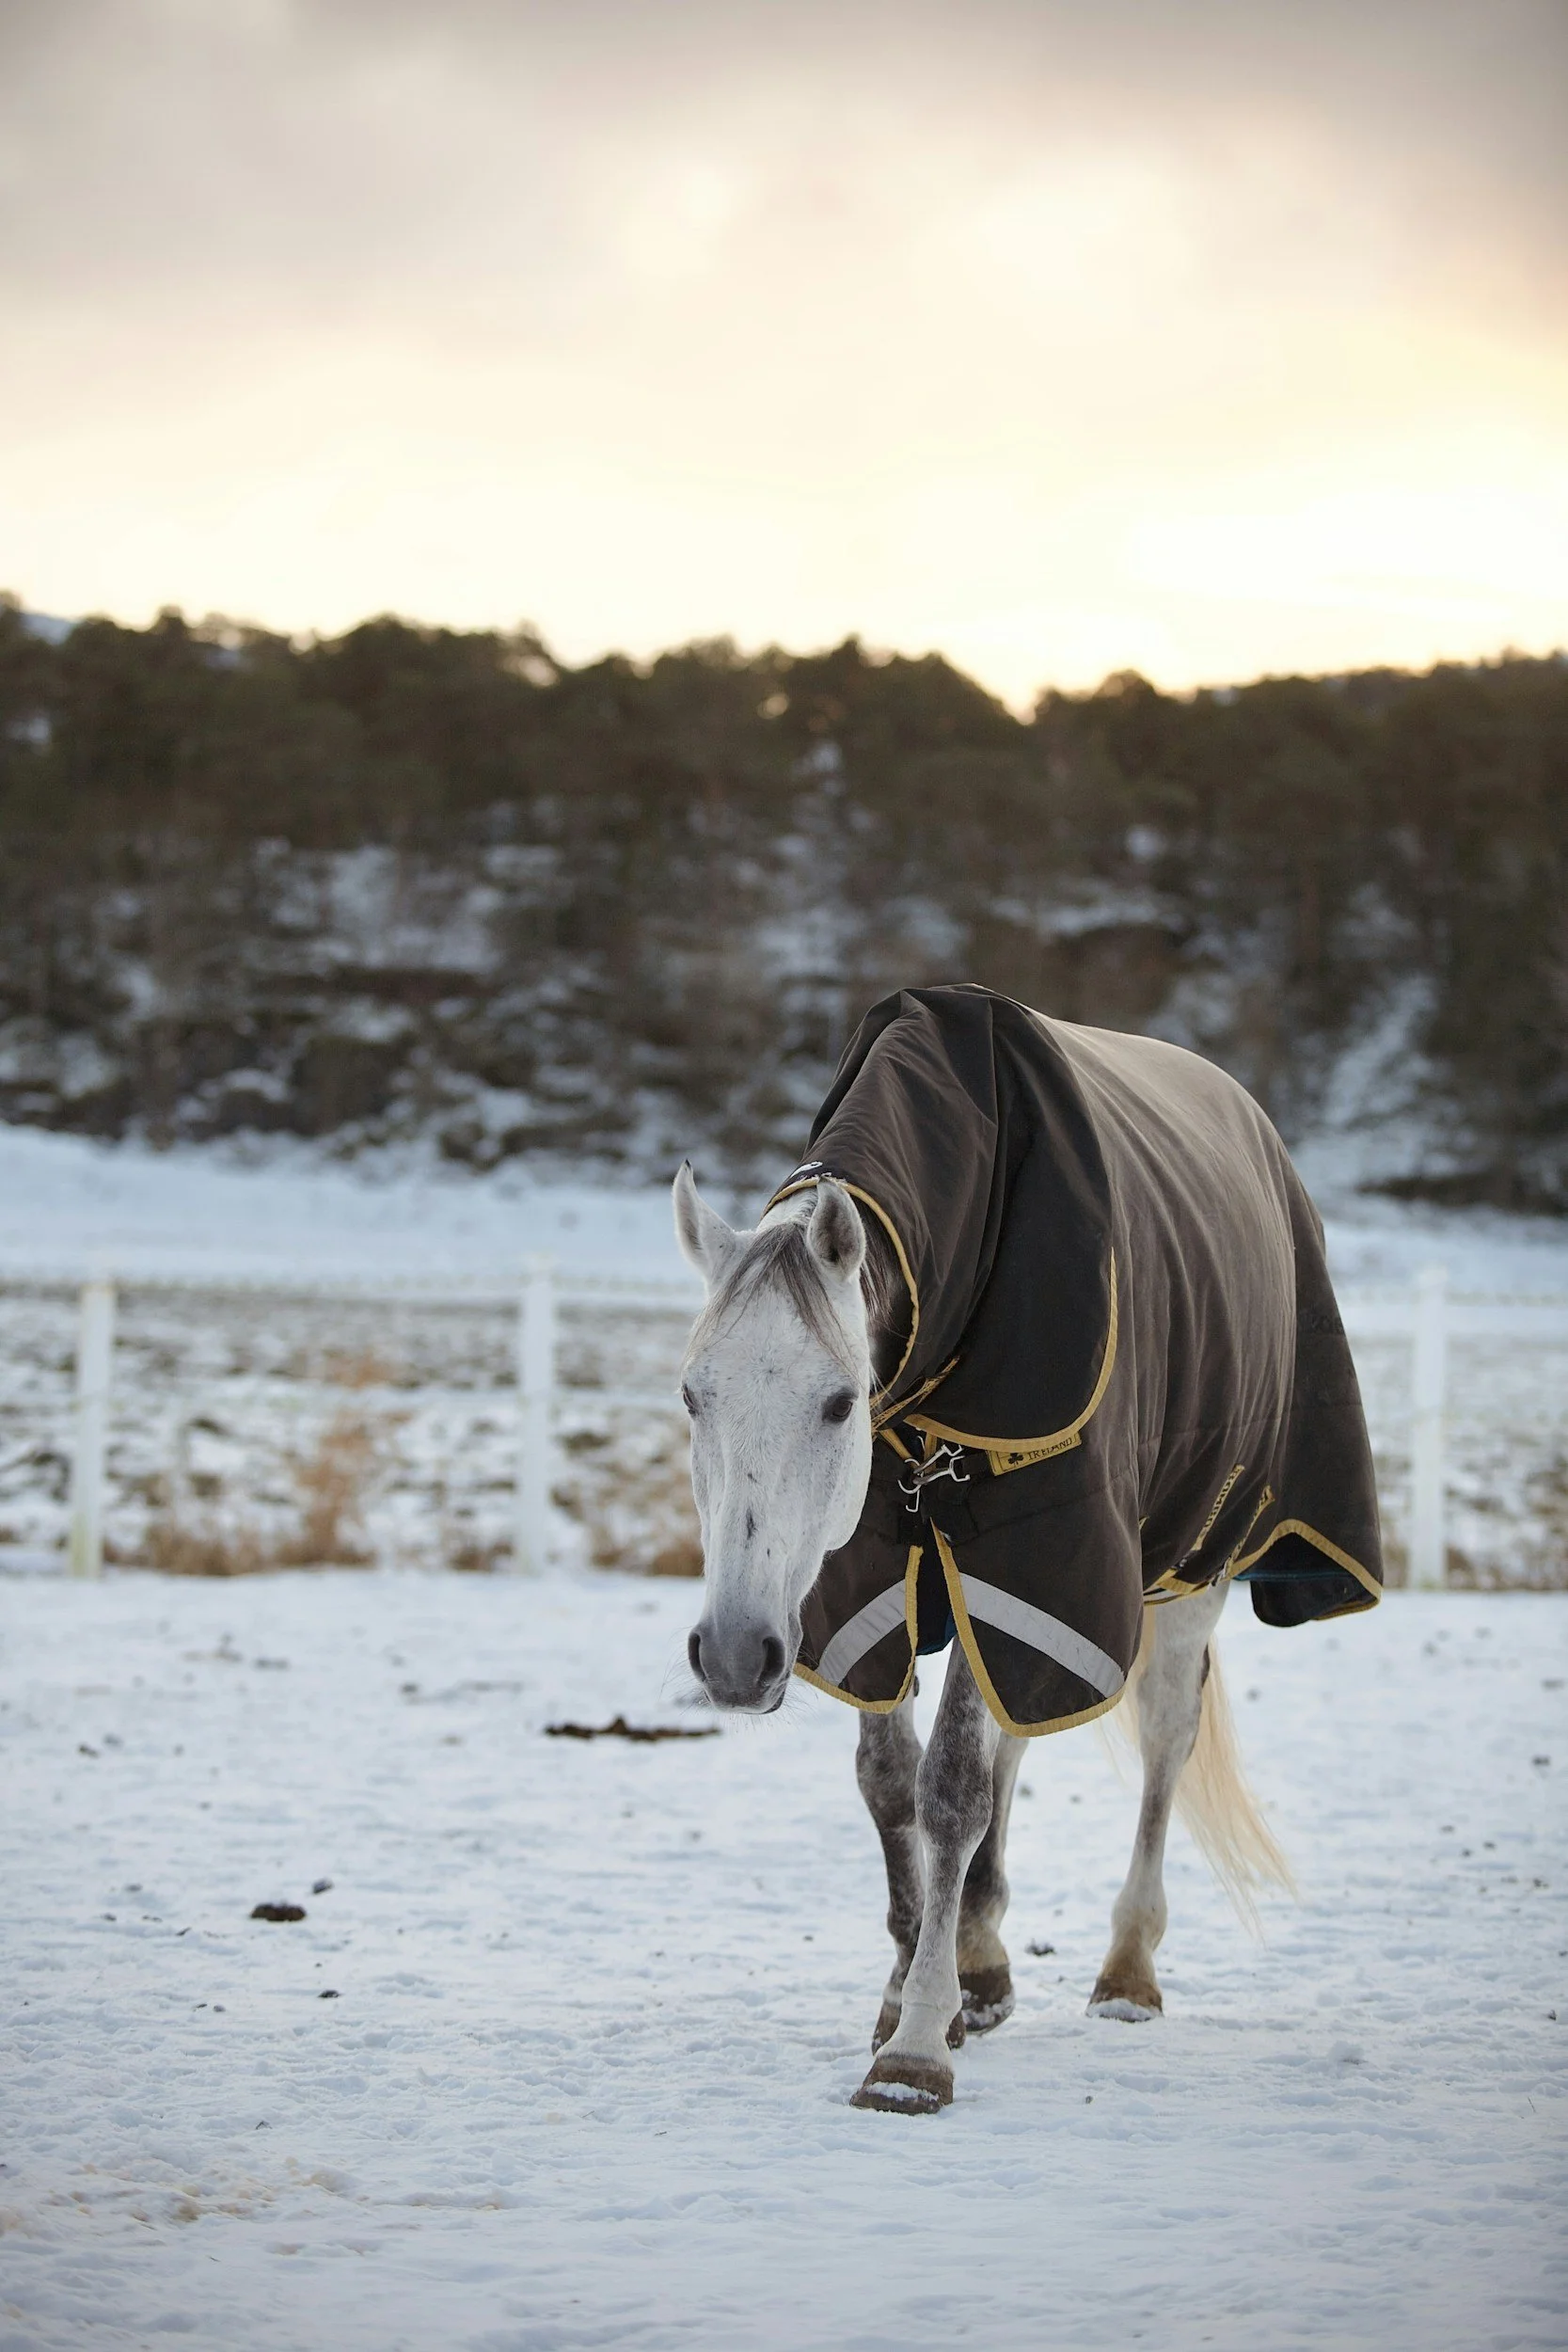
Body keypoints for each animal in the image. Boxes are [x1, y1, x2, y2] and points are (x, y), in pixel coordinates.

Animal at [672, 986, 1381, 2113]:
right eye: (693, 1395)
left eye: (837, 1403)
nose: (735, 1658)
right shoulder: (870, 1582)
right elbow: (891, 1779)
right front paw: (918, 1986)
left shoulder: (1029, 1557)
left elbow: (953, 1785)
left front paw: (915, 2044)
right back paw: (984, 1955)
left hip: (1187, 1568)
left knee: (1163, 1741)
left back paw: (1126, 1972)